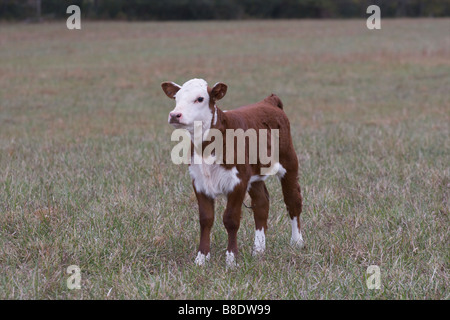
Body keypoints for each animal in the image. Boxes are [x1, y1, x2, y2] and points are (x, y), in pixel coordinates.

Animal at [160, 79, 304, 266]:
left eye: (200, 98)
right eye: (176, 98)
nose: (175, 115)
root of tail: (268, 101)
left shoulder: (238, 181)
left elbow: (231, 219)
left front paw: (231, 259)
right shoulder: (199, 181)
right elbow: (205, 219)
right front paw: (201, 258)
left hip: (289, 161)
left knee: (293, 200)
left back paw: (297, 242)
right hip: (255, 175)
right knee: (262, 204)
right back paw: (258, 250)